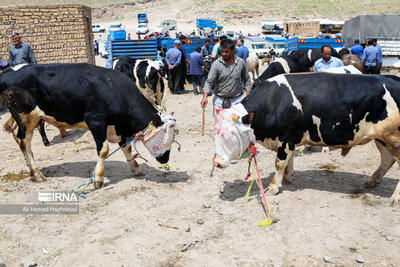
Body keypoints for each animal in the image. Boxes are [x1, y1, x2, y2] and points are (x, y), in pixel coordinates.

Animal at [0, 63, 177, 188]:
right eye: (163, 138)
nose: (166, 159)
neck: (113, 90)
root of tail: (10, 70)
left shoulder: (119, 127)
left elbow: (126, 147)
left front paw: (135, 168)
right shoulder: (96, 122)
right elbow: (104, 150)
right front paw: (98, 179)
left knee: (18, 138)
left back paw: (31, 171)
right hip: (26, 117)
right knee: (24, 141)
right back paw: (37, 174)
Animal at [214, 73, 400, 205]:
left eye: (229, 134)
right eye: (215, 133)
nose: (216, 162)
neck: (273, 103)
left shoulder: (286, 138)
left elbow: (280, 162)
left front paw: (274, 186)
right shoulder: (288, 141)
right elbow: (288, 161)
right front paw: (288, 178)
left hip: (393, 139)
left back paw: (395, 197)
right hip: (381, 138)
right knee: (387, 159)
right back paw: (372, 180)